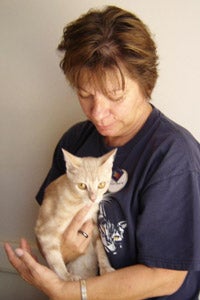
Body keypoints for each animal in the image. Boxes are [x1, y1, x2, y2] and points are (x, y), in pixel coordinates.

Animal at [35, 149, 116, 280]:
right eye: (82, 185)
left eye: (101, 185)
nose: (93, 198)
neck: (79, 204)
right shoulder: (44, 231)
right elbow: (54, 258)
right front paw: (66, 277)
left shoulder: (93, 224)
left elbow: (100, 246)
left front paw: (106, 268)